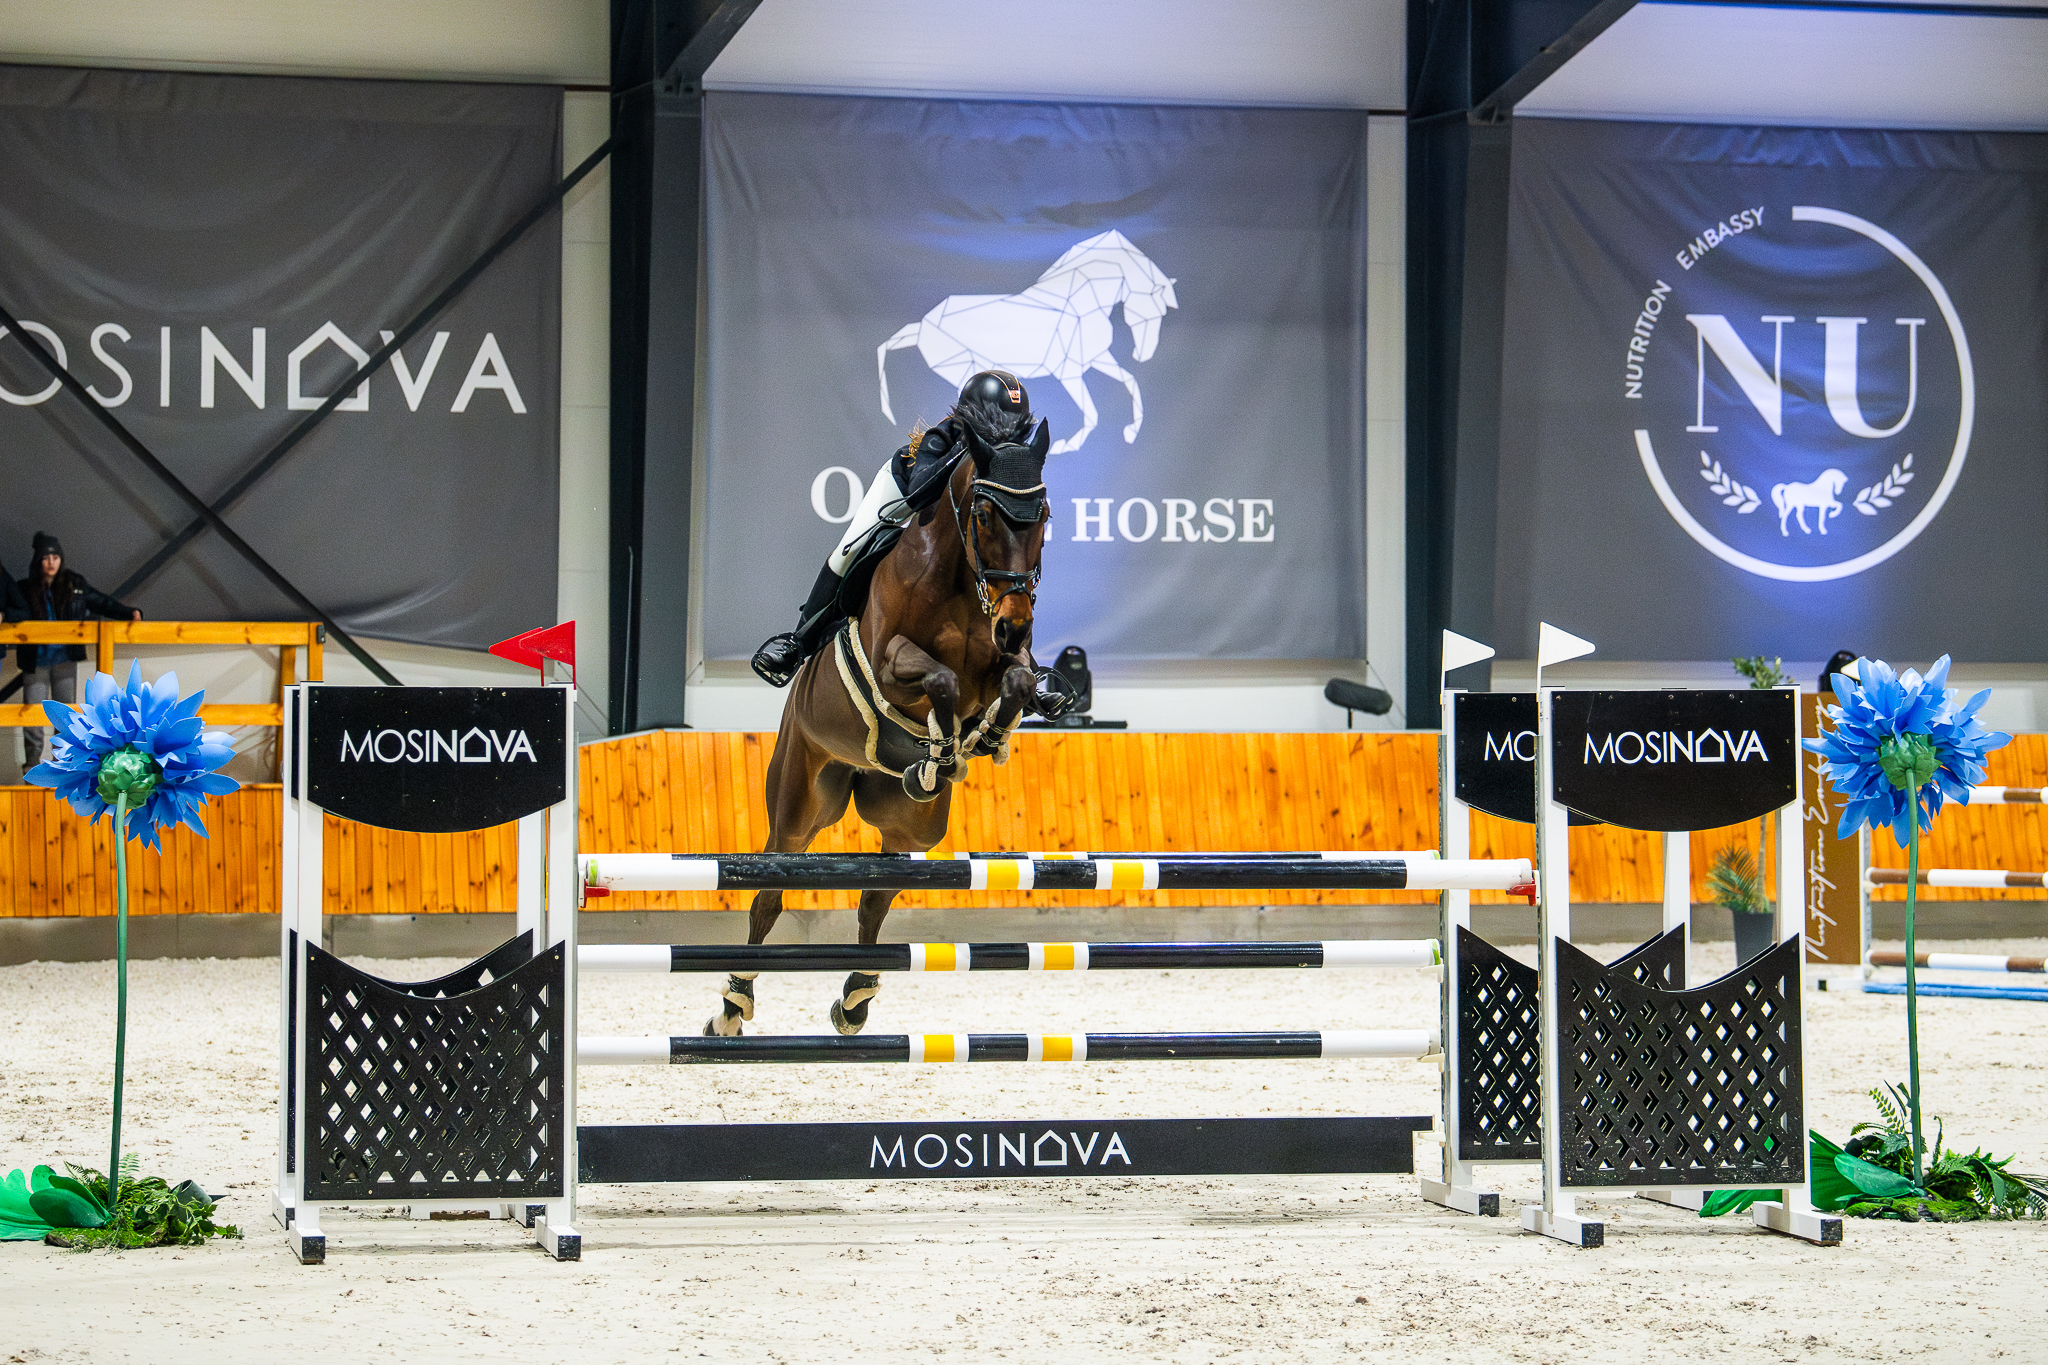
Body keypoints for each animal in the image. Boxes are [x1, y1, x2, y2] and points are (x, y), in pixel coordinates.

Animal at [705, 421, 1052, 1038]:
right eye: (985, 514)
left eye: (1045, 515)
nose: (1015, 623)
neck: (961, 584)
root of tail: (859, 772)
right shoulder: (891, 662)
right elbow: (939, 678)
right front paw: (946, 747)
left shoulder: (1003, 664)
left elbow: (1015, 682)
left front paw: (982, 738)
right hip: (800, 803)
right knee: (769, 893)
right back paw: (734, 1003)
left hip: (911, 827)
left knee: (876, 896)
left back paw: (856, 996)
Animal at [876, 229, 1178, 456]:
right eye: (1153, 303)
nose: (1143, 354)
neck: (1078, 299)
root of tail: (923, 325)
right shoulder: (1069, 371)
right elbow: (1092, 412)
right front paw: (1070, 443)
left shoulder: (1096, 359)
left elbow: (1130, 382)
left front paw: (1131, 429)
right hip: (959, 365)